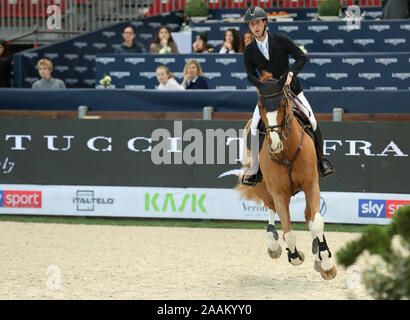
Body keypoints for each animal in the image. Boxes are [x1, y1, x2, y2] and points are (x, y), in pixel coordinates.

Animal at [235, 73, 338, 280]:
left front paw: (326, 264)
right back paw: (273, 244)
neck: (287, 153)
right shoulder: (278, 192)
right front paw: (295, 255)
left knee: (308, 216)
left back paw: (318, 254)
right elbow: (288, 233)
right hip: (262, 187)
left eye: (283, 103)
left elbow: (316, 222)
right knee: (270, 209)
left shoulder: (311, 185)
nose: (275, 143)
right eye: (261, 106)